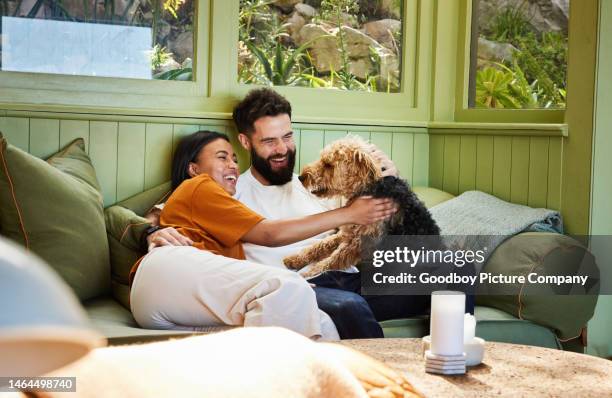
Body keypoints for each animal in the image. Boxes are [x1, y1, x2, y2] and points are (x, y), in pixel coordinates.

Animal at [284, 137, 440, 276]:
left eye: (328, 164)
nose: (301, 177)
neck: (367, 188)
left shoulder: (359, 244)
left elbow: (331, 261)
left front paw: (308, 273)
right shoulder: (347, 233)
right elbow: (319, 245)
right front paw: (295, 259)